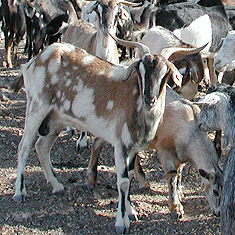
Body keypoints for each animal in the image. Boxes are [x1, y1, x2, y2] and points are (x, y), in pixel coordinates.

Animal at [11, 37, 204, 232]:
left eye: (165, 73)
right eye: (141, 71)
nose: (150, 99)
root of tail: (35, 60)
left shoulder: (133, 147)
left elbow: (130, 177)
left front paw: (130, 212)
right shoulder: (120, 144)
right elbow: (123, 181)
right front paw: (121, 223)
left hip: (56, 119)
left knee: (41, 147)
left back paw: (57, 185)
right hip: (37, 106)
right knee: (24, 147)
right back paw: (20, 192)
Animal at [87, 86, 223, 218]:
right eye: (215, 191)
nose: (218, 213)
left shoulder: (180, 155)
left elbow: (179, 172)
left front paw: (179, 194)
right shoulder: (164, 149)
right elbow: (172, 175)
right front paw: (176, 208)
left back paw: (143, 181)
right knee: (97, 142)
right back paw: (91, 180)